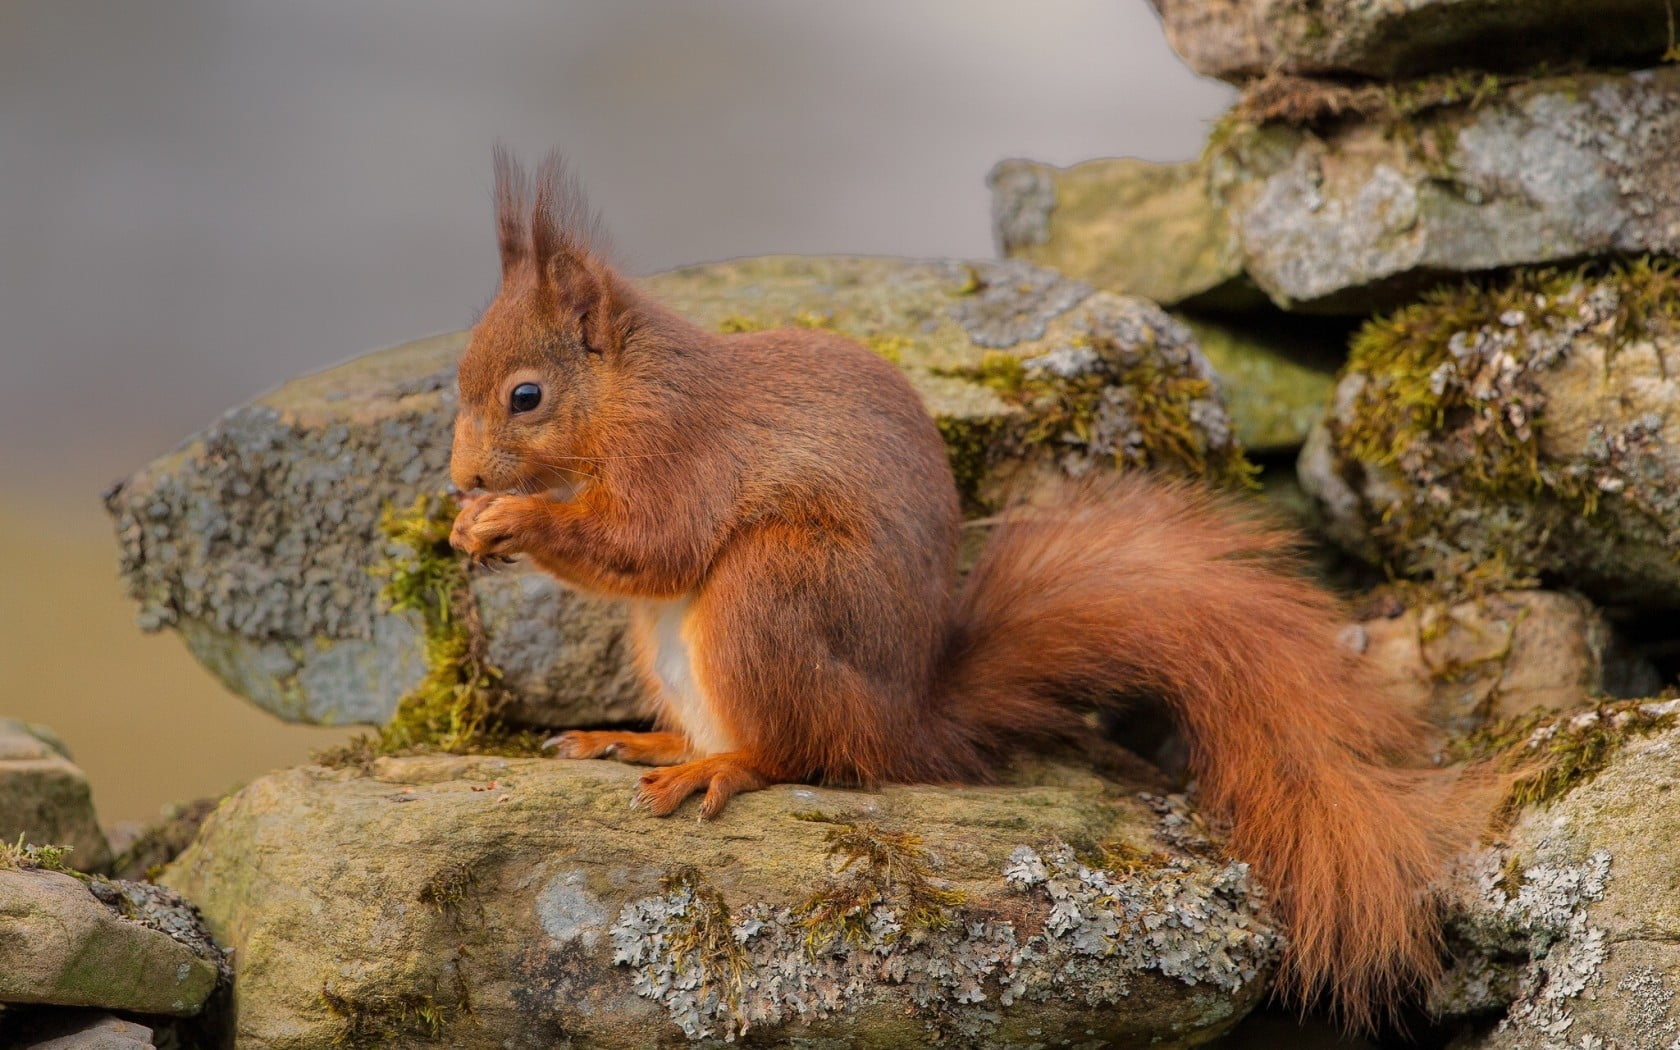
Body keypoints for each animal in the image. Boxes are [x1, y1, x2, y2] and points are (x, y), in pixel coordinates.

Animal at [447, 151, 1494, 1029]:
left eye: (526, 396)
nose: (460, 482)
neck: (628, 393)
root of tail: (905, 720)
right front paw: (473, 527)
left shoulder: (684, 457)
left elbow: (652, 544)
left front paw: (512, 522)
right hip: (670, 644)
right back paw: (635, 740)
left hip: (769, 591)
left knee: (798, 752)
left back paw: (722, 767)